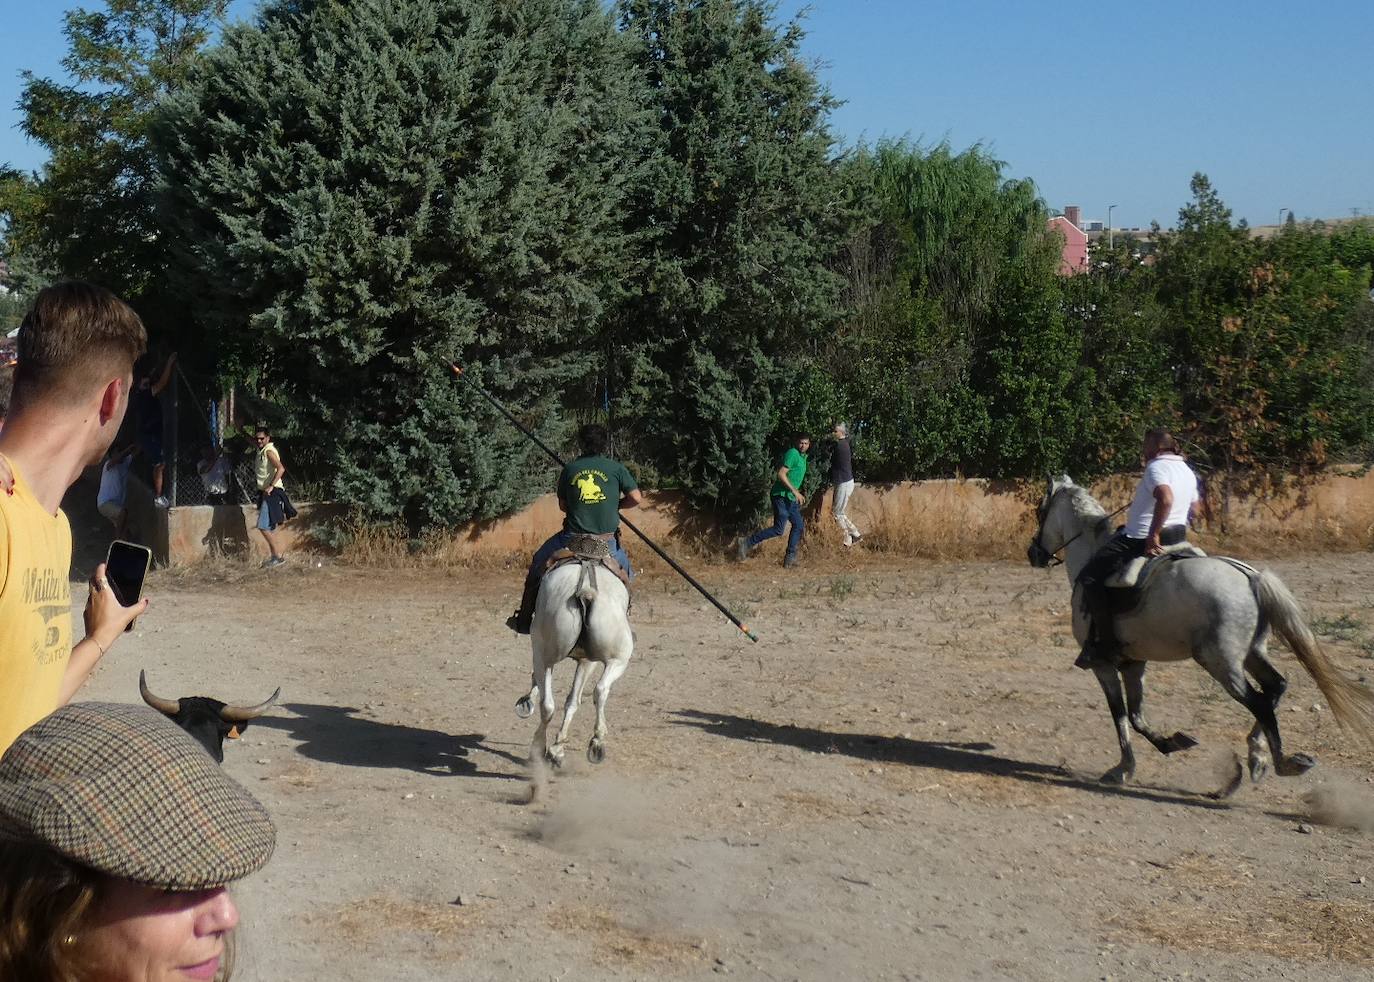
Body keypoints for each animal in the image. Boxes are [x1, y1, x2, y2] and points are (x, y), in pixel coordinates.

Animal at [513, 552, 629, 769]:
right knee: (600, 690)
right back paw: (596, 743)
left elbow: (566, 700)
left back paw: (540, 748)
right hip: (619, 658)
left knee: (548, 704)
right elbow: (573, 701)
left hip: (544, 655)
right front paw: (558, 749)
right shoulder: (587, 661)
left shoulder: (578, 659)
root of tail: (585, 592)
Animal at [1033, 472, 1374, 785]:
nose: (1033, 553)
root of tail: (1251, 577)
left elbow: (1120, 715)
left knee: (1260, 703)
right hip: (1251, 653)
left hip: (1220, 662)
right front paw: (1170, 743)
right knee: (1276, 687)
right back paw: (1258, 755)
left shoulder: (1103, 665)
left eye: (1040, 511)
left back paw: (1278, 763)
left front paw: (1123, 768)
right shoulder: (1134, 662)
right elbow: (1137, 715)